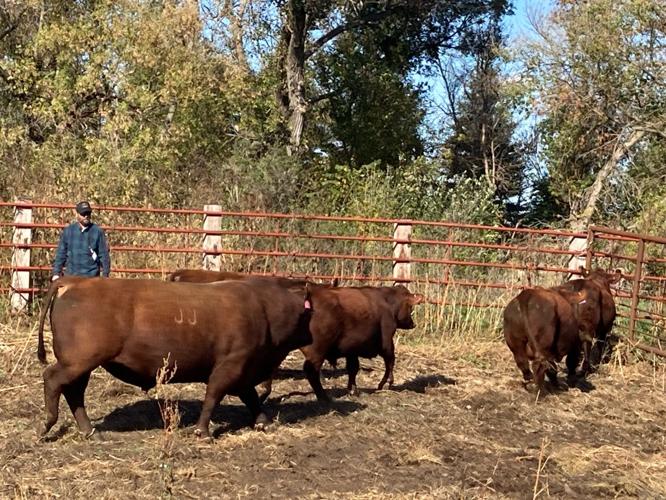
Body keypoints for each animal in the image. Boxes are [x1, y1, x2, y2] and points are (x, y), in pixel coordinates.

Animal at [37, 276, 313, 440]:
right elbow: (214, 395)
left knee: (74, 393)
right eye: (309, 315)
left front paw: (264, 422)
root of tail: (73, 281)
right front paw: (203, 431)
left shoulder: (243, 369)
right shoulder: (230, 365)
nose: (311, 338)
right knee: (53, 379)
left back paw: (90, 431)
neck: (262, 307)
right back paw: (47, 424)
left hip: (82, 365)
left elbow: (251, 397)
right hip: (79, 362)